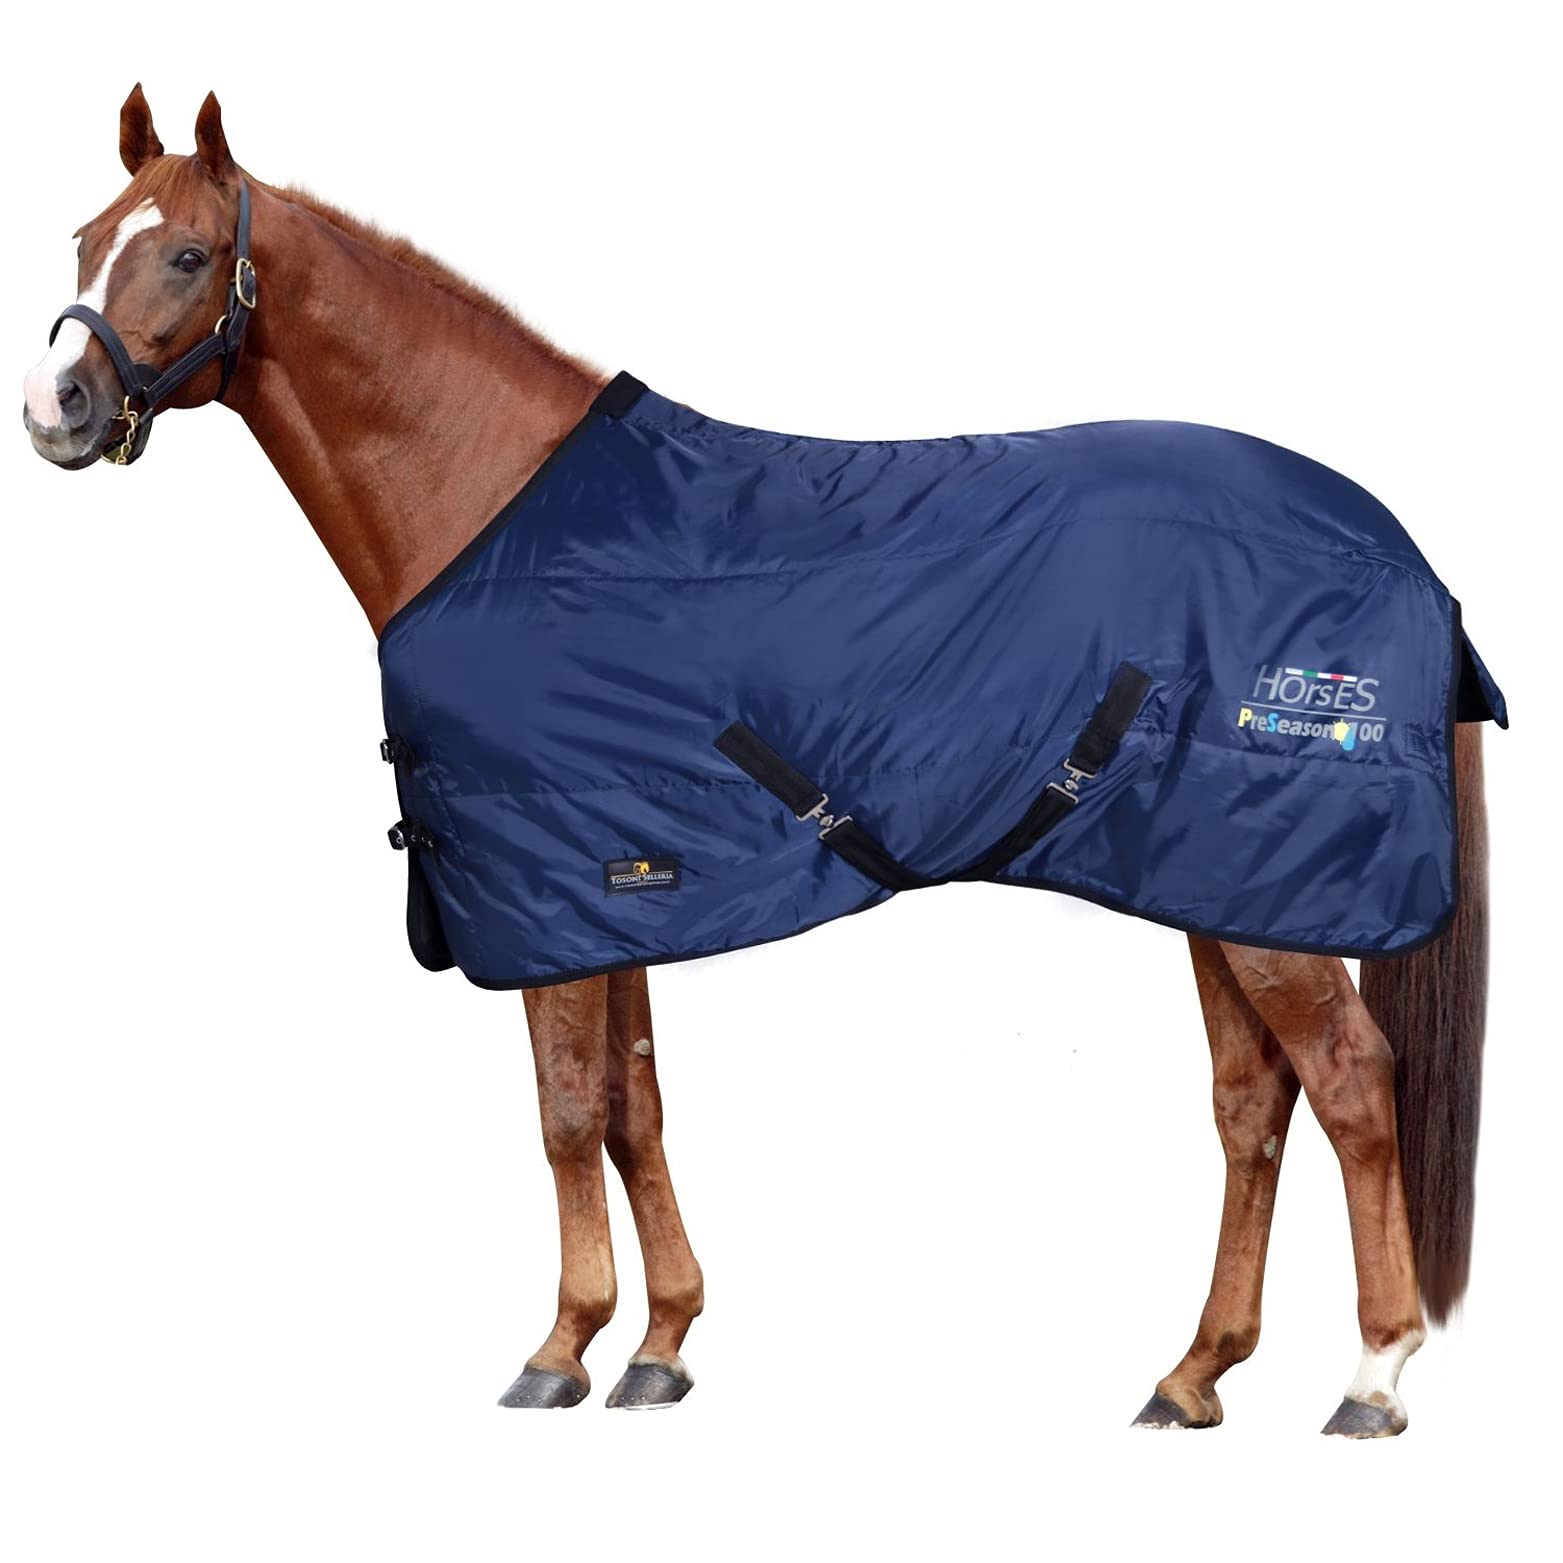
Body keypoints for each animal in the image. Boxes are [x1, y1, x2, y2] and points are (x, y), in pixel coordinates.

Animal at [21, 87, 1493, 1434]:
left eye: (187, 254)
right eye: (86, 237)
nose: (55, 405)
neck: (492, 506)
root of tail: (1398, 550)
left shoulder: (554, 883)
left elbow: (567, 1110)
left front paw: (560, 1346)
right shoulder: (615, 883)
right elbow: (633, 1107)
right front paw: (659, 1343)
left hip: (1270, 898)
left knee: (1351, 1084)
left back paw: (1371, 1373)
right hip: (1213, 880)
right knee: (1253, 1102)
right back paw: (1192, 1372)